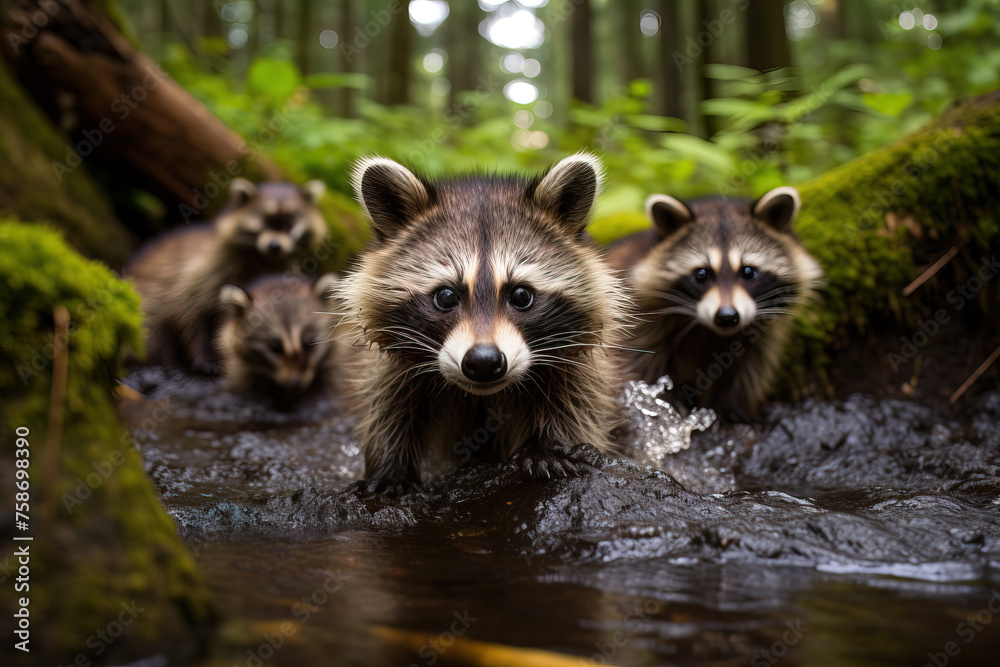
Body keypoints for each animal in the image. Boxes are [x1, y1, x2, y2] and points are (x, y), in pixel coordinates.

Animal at [124, 178, 328, 373]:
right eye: (264, 221)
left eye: (289, 224)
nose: (274, 246)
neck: (262, 258)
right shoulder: (202, 269)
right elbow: (186, 310)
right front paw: (200, 356)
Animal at [336, 153, 626, 491]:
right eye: (446, 296)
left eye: (521, 295)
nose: (485, 362)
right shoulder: (393, 366)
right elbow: (387, 405)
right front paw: (391, 467)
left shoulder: (578, 366)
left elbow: (577, 404)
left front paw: (549, 446)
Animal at [610, 187, 822, 420]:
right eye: (702, 273)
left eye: (748, 271)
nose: (727, 317)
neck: (712, 333)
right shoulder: (639, 317)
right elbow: (639, 360)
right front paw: (661, 399)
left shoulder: (762, 336)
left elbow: (748, 370)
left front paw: (733, 408)